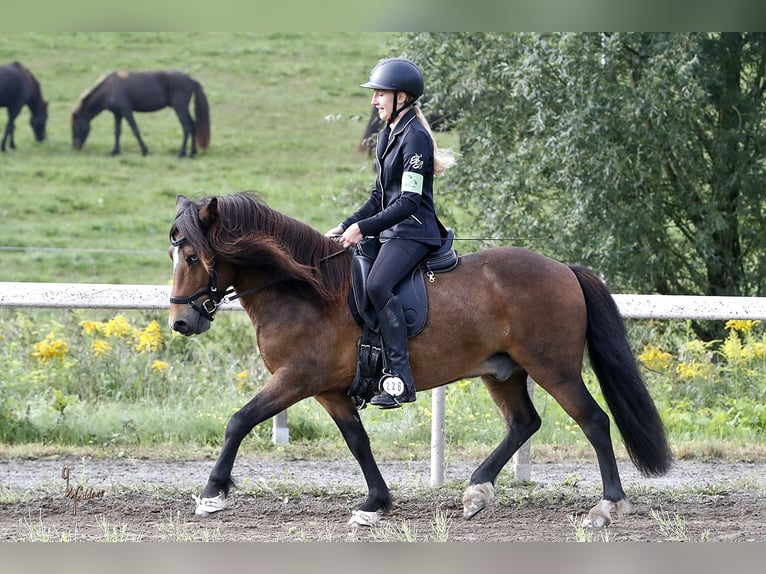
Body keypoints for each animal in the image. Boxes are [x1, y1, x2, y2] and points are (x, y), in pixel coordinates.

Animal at [71, 70, 210, 157]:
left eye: (75, 126)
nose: (75, 146)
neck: (110, 89)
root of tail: (191, 80)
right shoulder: (117, 114)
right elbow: (117, 132)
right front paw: (114, 152)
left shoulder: (126, 111)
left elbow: (135, 130)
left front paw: (144, 151)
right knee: (193, 126)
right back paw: (192, 153)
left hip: (180, 108)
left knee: (187, 127)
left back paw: (182, 153)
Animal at [167, 191, 672, 529]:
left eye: (192, 256)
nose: (181, 322)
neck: (304, 289)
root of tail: (564, 268)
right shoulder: (329, 390)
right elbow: (358, 442)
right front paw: (376, 502)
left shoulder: (296, 379)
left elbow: (238, 420)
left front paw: (212, 494)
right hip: (503, 371)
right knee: (524, 423)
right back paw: (477, 491)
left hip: (554, 369)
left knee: (594, 421)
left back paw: (607, 506)